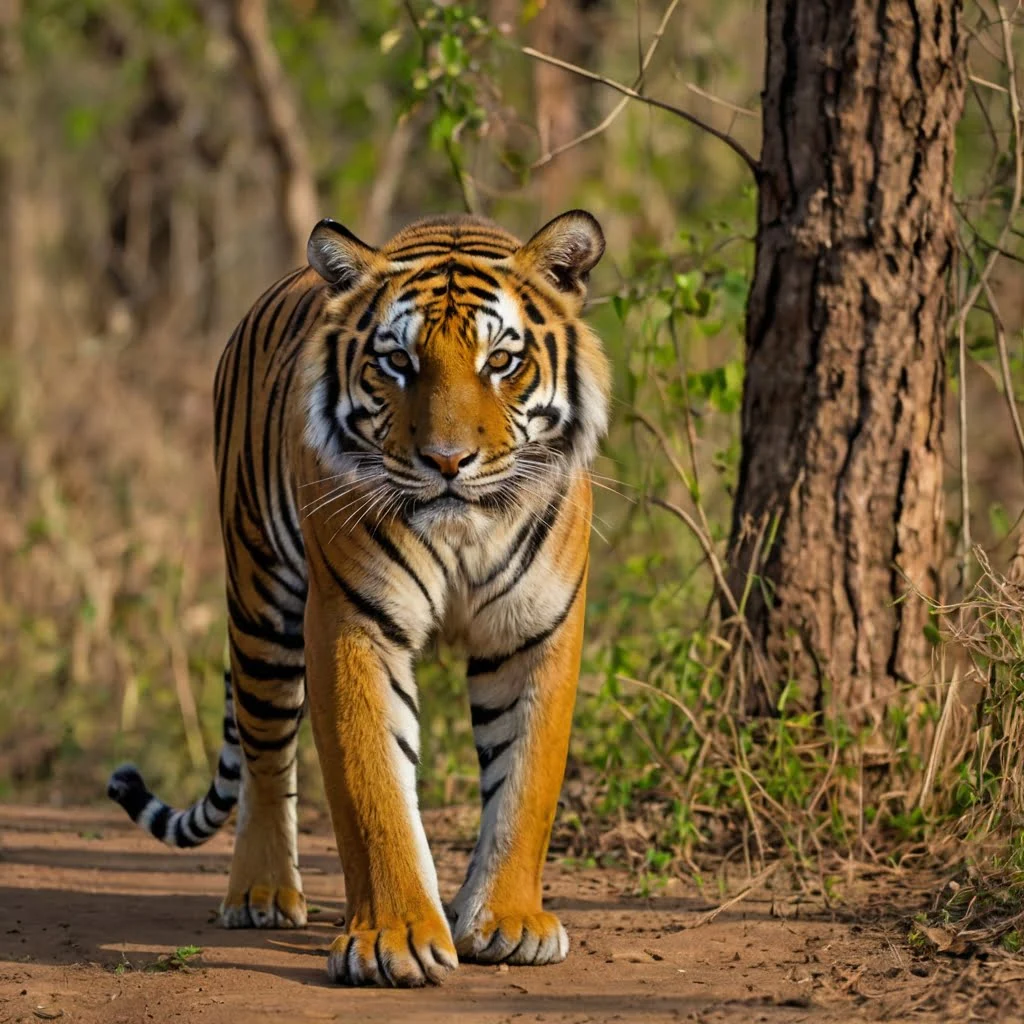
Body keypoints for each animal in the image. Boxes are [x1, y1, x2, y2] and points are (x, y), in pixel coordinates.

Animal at [110, 207, 606, 983]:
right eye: (398, 362)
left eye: (501, 362)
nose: (447, 462)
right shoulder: (351, 621)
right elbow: (374, 787)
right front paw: (394, 939)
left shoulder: (535, 631)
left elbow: (526, 781)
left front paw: (507, 920)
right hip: (261, 597)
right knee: (265, 753)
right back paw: (261, 893)